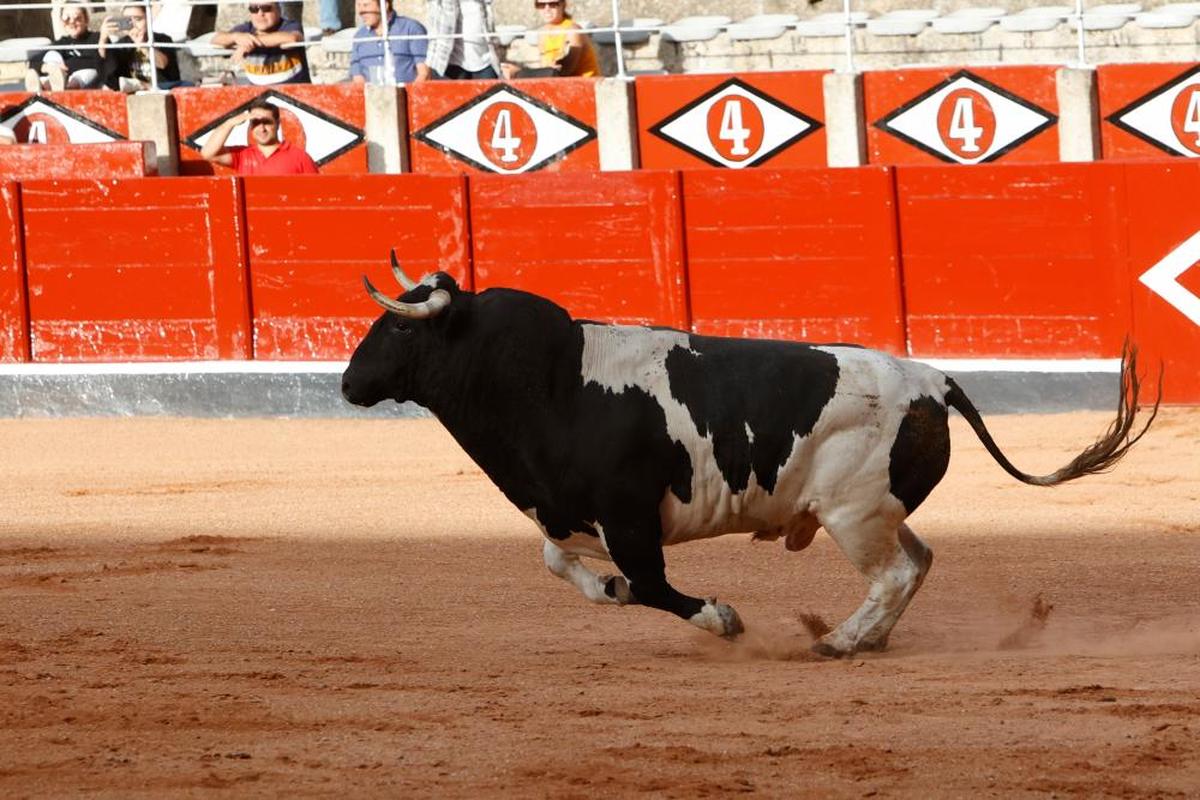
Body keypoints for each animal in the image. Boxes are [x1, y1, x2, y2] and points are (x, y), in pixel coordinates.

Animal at [343, 255, 1156, 657]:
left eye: (400, 329)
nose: (348, 384)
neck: (549, 382)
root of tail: (934, 380)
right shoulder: (570, 514)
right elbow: (571, 569)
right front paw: (608, 591)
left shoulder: (628, 518)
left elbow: (652, 586)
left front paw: (724, 620)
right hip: (877, 511)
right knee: (917, 562)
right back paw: (867, 638)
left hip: (854, 514)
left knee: (893, 573)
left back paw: (839, 643)